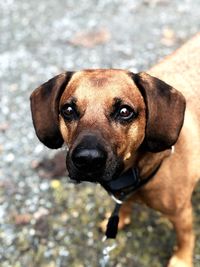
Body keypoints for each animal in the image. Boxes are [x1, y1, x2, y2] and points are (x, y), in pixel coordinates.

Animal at [30, 34, 200, 266]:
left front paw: (181, 259)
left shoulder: (181, 213)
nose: (87, 159)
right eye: (68, 110)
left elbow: (185, 237)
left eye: (124, 111)